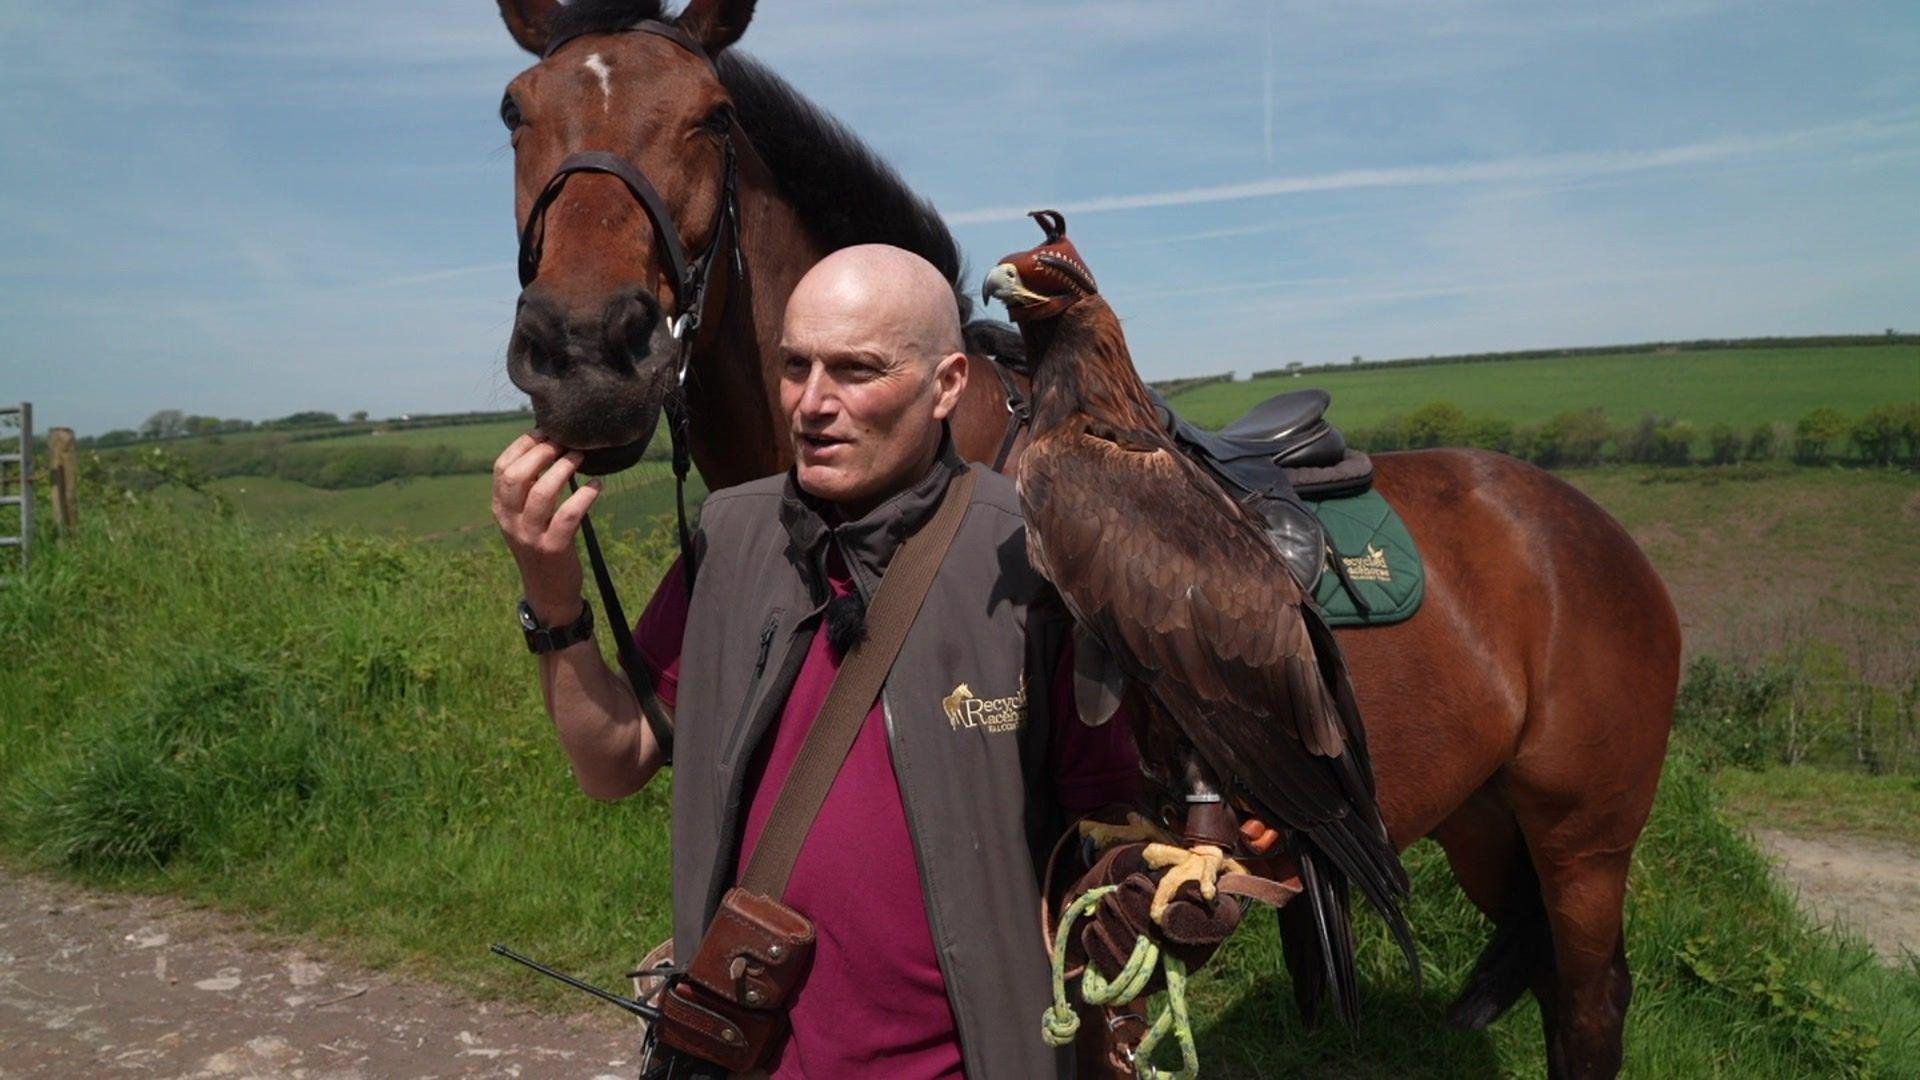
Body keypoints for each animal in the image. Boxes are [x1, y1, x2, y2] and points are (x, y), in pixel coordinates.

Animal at [495, 4, 1681, 1068]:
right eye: (515, 112)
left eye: (712, 113)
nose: (584, 350)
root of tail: (1593, 526)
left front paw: (1187, 868)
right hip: (1484, 818)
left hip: (1575, 831)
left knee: (1589, 998)